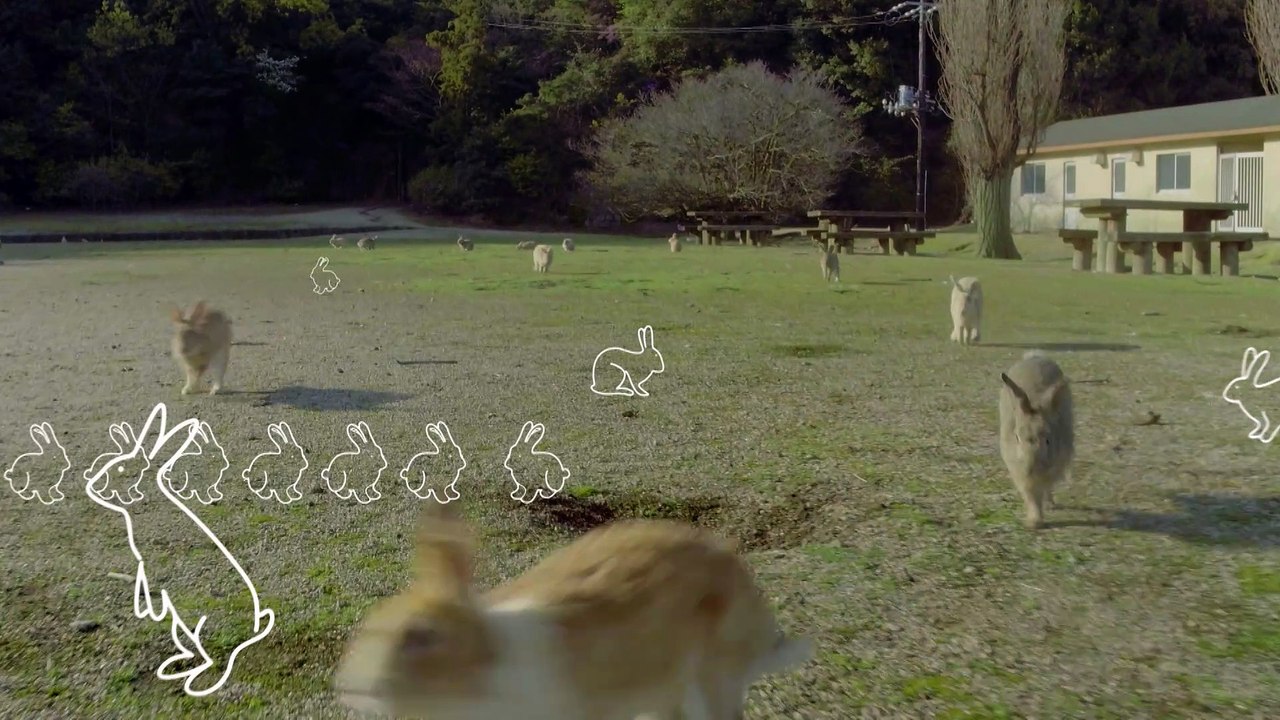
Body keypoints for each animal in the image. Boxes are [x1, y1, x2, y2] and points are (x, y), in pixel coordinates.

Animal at [999, 351, 1074, 530]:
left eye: (1048, 440)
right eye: (1017, 437)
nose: (1030, 468)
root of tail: (1035, 358)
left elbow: (1044, 490)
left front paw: (1041, 515)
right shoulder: (1019, 473)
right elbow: (1031, 497)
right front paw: (1034, 522)